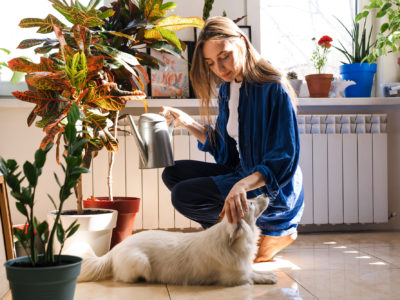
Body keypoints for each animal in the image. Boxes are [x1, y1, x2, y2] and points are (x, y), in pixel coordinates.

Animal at [79, 195, 276, 286]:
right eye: (250, 203)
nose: (266, 193)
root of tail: (115, 249)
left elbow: (254, 271)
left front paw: (268, 273)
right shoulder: (235, 277)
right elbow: (252, 275)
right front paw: (268, 277)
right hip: (141, 262)